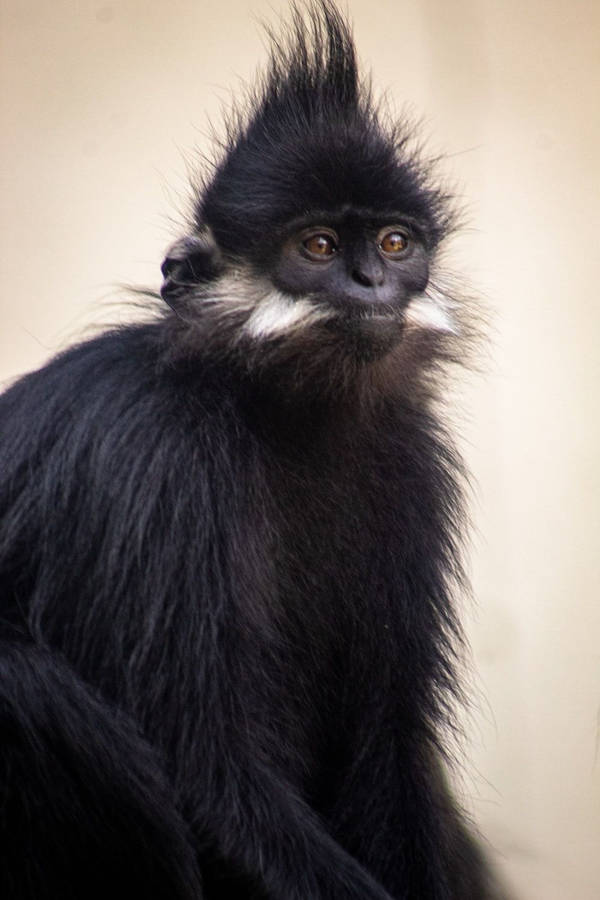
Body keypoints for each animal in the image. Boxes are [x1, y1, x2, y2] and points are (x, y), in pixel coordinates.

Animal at [0, 3, 507, 898]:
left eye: (395, 243)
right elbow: (209, 780)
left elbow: (388, 756)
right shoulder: (158, 457)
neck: (283, 417)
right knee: (23, 685)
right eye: (317, 248)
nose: (372, 283)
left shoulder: (412, 465)